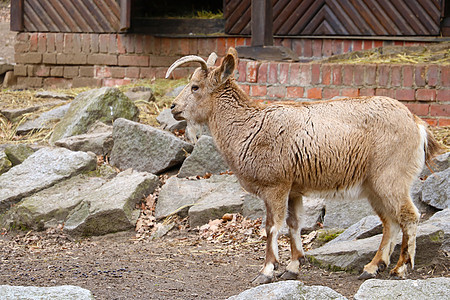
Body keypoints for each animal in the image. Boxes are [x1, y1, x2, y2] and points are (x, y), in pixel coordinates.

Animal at [164, 48, 440, 284]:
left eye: (195, 86)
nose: (173, 107)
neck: (249, 126)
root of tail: (417, 124)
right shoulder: (294, 189)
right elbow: (294, 224)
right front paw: (293, 267)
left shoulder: (275, 185)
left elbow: (272, 226)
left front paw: (266, 271)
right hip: (374, 186)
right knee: (389, 221)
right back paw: (372, 268)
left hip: (390, 178)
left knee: (409, 216)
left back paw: (400, 268)